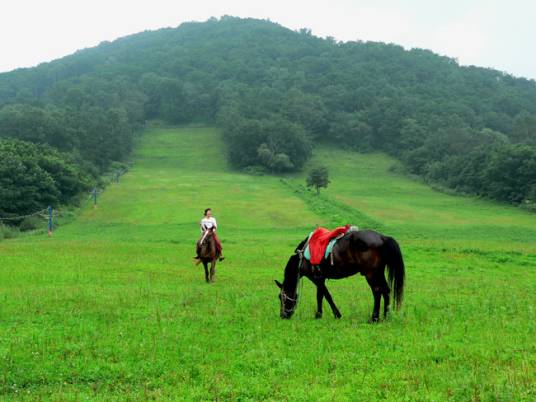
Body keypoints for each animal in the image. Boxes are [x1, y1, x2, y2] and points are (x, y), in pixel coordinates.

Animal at [274, 229, 404, 324]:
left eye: (281, 297)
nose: (283, 315)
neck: (302, 258)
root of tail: (382, 237)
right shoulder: (320, 278)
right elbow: (320, 296)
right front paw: (318, 315)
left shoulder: (316, 279)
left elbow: (327, 296)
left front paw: (336, 314)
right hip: (378, 272)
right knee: (386, 290)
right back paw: (386, 316)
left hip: (371, 273)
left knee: (377, 291)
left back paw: (374, 318)